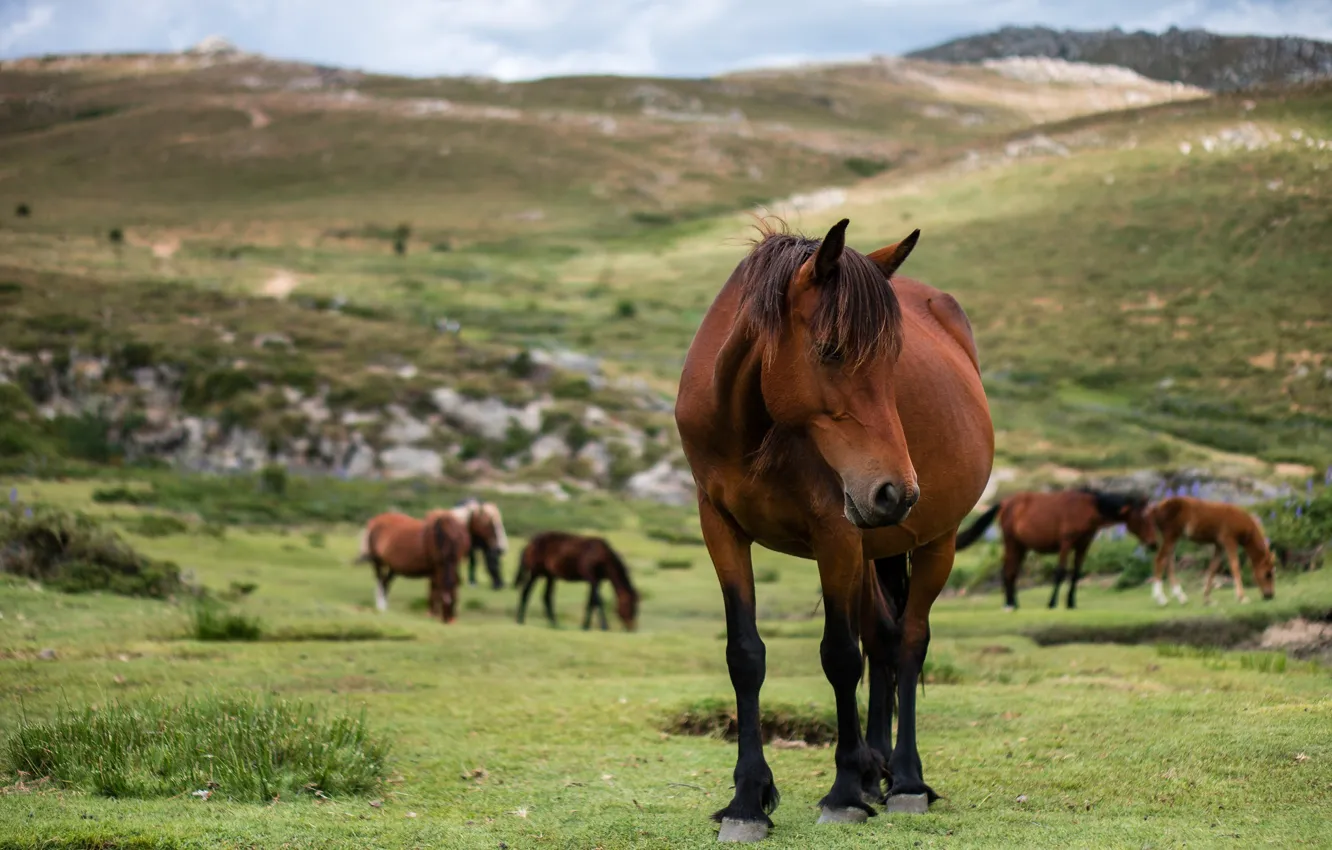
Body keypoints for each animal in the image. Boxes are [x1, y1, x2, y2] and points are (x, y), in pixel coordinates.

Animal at [675, 218, 994, 841]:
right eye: (831, 350)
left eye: (896, 363)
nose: (897, 492)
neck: (751, 424)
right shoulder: (720, 529)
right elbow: (745, 655)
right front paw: (748, 800)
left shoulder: (836, 537)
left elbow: (840, 656)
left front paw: (844, 793)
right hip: (873, 550)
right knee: (884, 639)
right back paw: (877, 770)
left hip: (934, 542)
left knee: (909, 642)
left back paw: (905, 780)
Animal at [954, 488, 1157, 610]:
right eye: (1141, 518)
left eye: (1150, 516)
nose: (1154, 544)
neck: (1087, 509)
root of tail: (1005, 503)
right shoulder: (1066, 544)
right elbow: (1060, 572)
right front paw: (1052, 603)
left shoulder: (1083, 546)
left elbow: (1076, 574)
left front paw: (1071, 603)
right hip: (1011, 542)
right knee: (1007, 571)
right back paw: (1009, 604)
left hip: (1022, 546)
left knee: (1013, 572)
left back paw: (1014, 603)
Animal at [1145, 496, 1276, 605]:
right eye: (1267, 574)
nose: (1270, 596)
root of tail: (1156, 508)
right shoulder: (1229, 540)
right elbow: (1235, 566)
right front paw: (1242, 597)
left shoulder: (1219, 545)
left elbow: (1213, 568)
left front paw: (1207, 598)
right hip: (1170, 536)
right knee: (1160, 559)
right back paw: (1161, 598)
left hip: (1172, 539)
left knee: (1168, 563)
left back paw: (1181, 597)